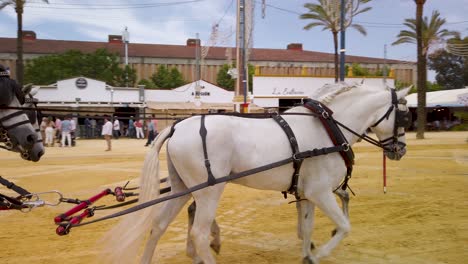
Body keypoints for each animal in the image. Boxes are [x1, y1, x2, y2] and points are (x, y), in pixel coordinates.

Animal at [103, 82, 410, 262]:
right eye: (405, 116)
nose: (401, 149)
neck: (329, 129)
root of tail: (177, 126)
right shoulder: (321, 192)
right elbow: (344, 227)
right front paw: (318, 254)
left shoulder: (307, 194)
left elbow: (307, 229)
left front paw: (307, 254)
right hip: (209, 191)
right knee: (199, 234)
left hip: (181, 188)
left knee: (158, 225)